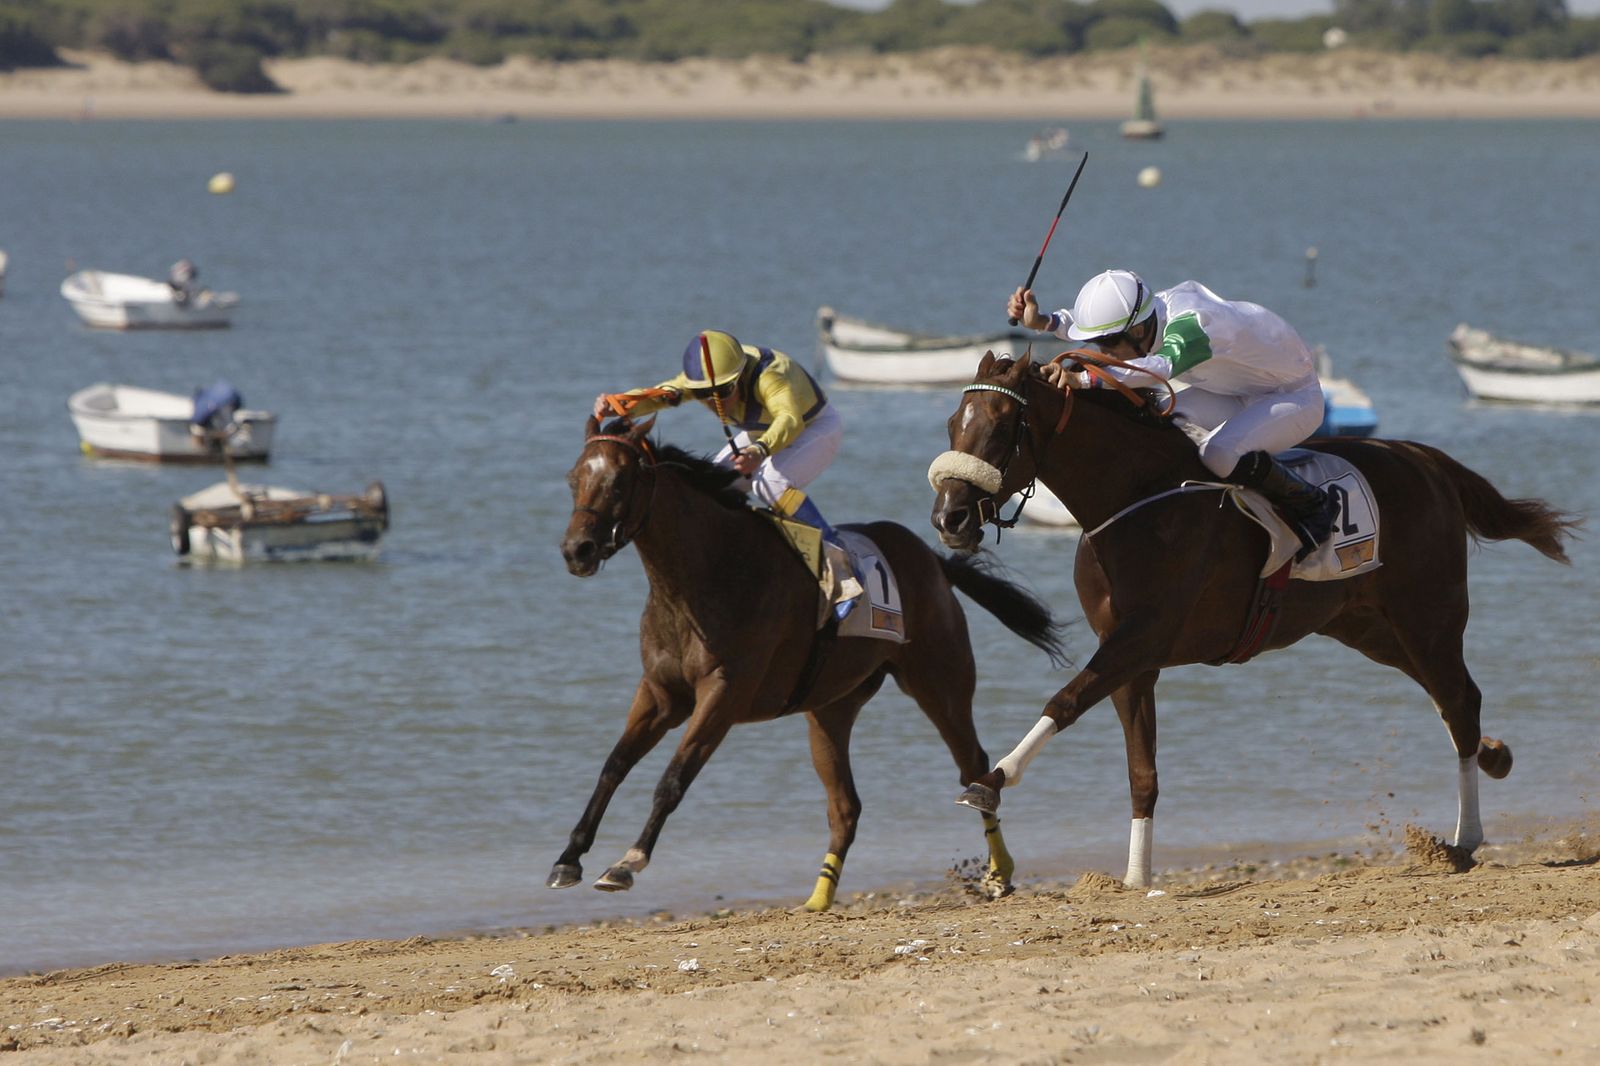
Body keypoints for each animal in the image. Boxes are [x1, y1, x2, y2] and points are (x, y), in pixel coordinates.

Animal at [554, 414, 1067, 910]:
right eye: (573, 478)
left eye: (620, 481)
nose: (576, 550)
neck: (704, 576)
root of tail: (933, 559)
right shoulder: (660, 693)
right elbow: (614, 765)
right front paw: (569, 858)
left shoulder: (722, 694)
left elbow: (672, 779)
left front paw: (626, 863)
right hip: (830, 709)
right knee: (845, 806)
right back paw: (819, 897)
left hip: (938, 683)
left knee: (973, 766)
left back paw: (1000, 872)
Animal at [929, 351, 1579, 887]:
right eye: (953, 424)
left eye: (1002, 428)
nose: (949, 518)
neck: (1135, 499)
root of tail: (1423, 458)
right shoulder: (1131, 660)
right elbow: (1142, 771)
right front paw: (1136, 877)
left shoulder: (1141, 639)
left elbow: (1064, 700)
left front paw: (991, 781)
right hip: (1367, 627)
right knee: (1455, 700)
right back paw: (1494, 756)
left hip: (1428, 617)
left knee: (1458, 701)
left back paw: (1465, 837)